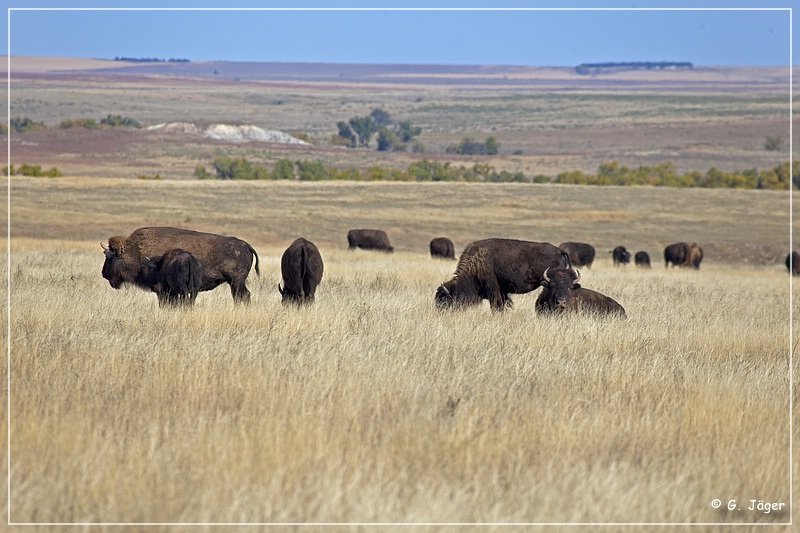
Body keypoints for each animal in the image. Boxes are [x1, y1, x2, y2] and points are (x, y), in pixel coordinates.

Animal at [102, 224, 260, 304]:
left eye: (109, 257)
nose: (103, 273)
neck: (135, 250)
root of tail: (245, 245)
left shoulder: (163, 290)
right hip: (235, 283)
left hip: (236, 282)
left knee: (243, 296)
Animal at [434, 238, 572, 312]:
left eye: (444, 299)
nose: (439, 312)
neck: (477, 263)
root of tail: (559, 250)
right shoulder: (502, 292)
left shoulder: (494, 291)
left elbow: (497, 306)